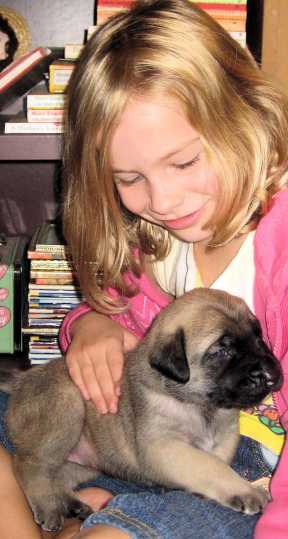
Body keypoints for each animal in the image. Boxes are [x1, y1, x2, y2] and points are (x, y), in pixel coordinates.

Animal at [0, 292, 284, 532]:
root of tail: (22, 379)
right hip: (67, 405)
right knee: (29, 465)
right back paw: (48, 507)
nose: (270, 373)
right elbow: (209, 464)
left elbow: (218, 459)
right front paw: (244, 490)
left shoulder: (225, 436)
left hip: (86, 461)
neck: (200, 405)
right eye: (223, 350)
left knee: (57, 476)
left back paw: (72, 503)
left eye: (258, 336)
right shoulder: (163, 446)